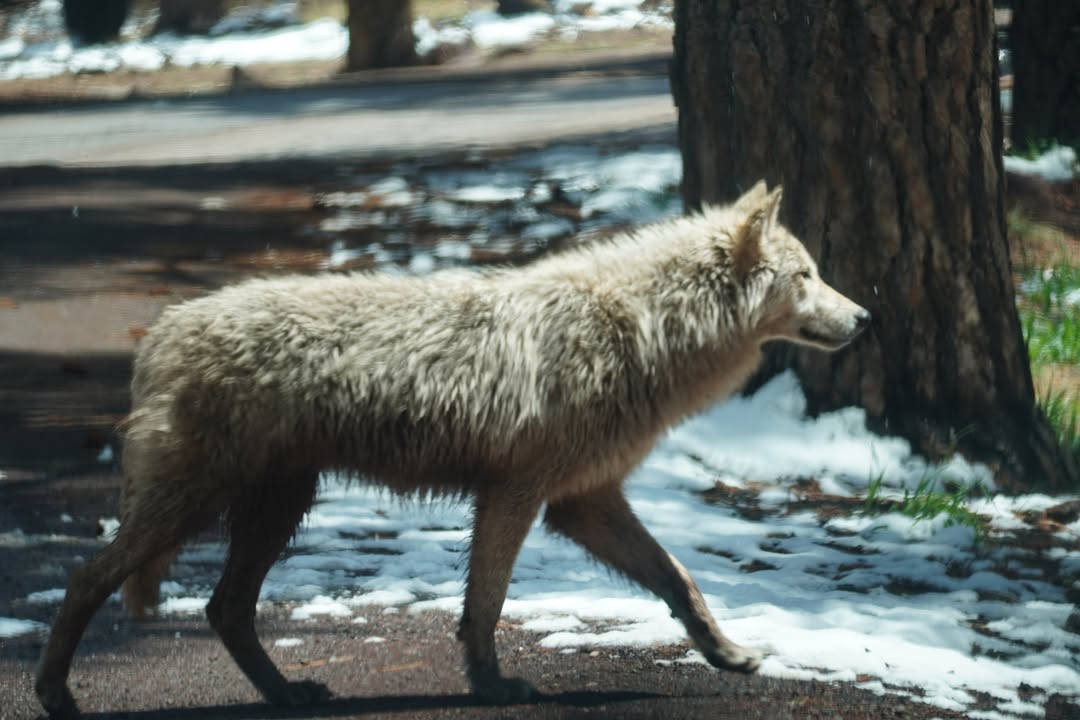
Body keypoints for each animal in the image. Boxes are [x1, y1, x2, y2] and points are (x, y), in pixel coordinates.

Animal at [36, 182, 869, 717]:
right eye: (807, 275)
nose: (865, 317)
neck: (638, 329)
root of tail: (161, 333)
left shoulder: (582, 504)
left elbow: (680, 581)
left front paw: (728, 655)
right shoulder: (515, 495)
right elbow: (487, 604)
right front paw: (493, 688)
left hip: (275, 508)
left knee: (224, 609)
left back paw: (289, 696)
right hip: (198, 507)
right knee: (87, 579)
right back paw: (55, 695)